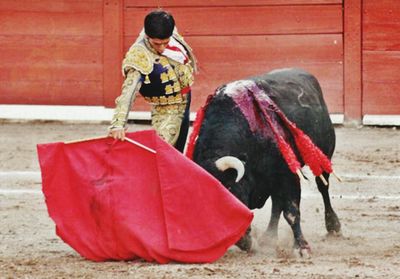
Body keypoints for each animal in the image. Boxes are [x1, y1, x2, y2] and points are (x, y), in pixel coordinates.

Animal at [193, 68, 340, 256]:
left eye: (229, 191)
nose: (242, 241)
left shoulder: (288, 174)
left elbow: (291, 212)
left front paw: (301, 247)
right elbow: (280, 206)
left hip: (324, 154)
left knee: (323, 187)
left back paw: (333, 226)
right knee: (277, 204)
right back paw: (268, 236)